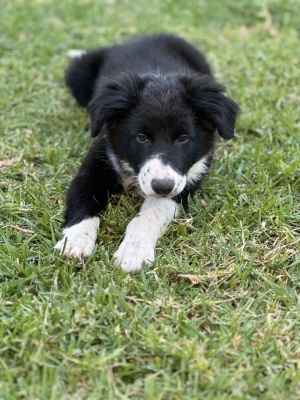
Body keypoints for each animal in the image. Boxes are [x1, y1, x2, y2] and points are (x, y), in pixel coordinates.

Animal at [54, 34, 239, 274]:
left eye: (183, 138)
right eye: (141, 138)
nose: (162, 187)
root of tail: (138, 38)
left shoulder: (184, 183)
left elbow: (149, 215)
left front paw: (134, 251)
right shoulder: (95, 164)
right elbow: (83, 202)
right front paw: (75, 243)